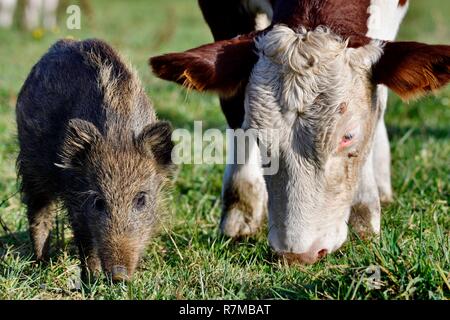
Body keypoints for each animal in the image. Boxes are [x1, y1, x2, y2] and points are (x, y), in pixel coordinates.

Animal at [152, 0, 450, 264]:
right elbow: (235, 106)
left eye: (348, 137)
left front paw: (364, 213)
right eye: (258, 137)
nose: (298, 254)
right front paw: (240, 211)